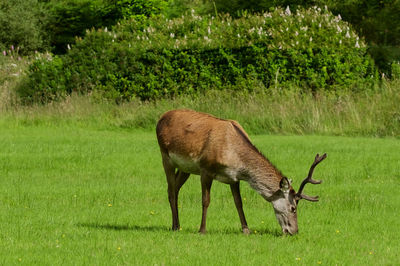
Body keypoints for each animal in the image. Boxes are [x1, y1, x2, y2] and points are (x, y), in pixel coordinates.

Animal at [155, 108, 326, 235]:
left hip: (185, 168)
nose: (294, 231)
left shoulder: (234, 177)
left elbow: (239, 202)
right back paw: (175, 226)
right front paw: (202, 230)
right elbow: (205, 200)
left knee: (175, 189)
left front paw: (246, 229)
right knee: (171, 190)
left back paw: (177, 224)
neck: (233, 155)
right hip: (165, 156)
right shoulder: (205, 169)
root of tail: (161, 118)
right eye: (293, 208)